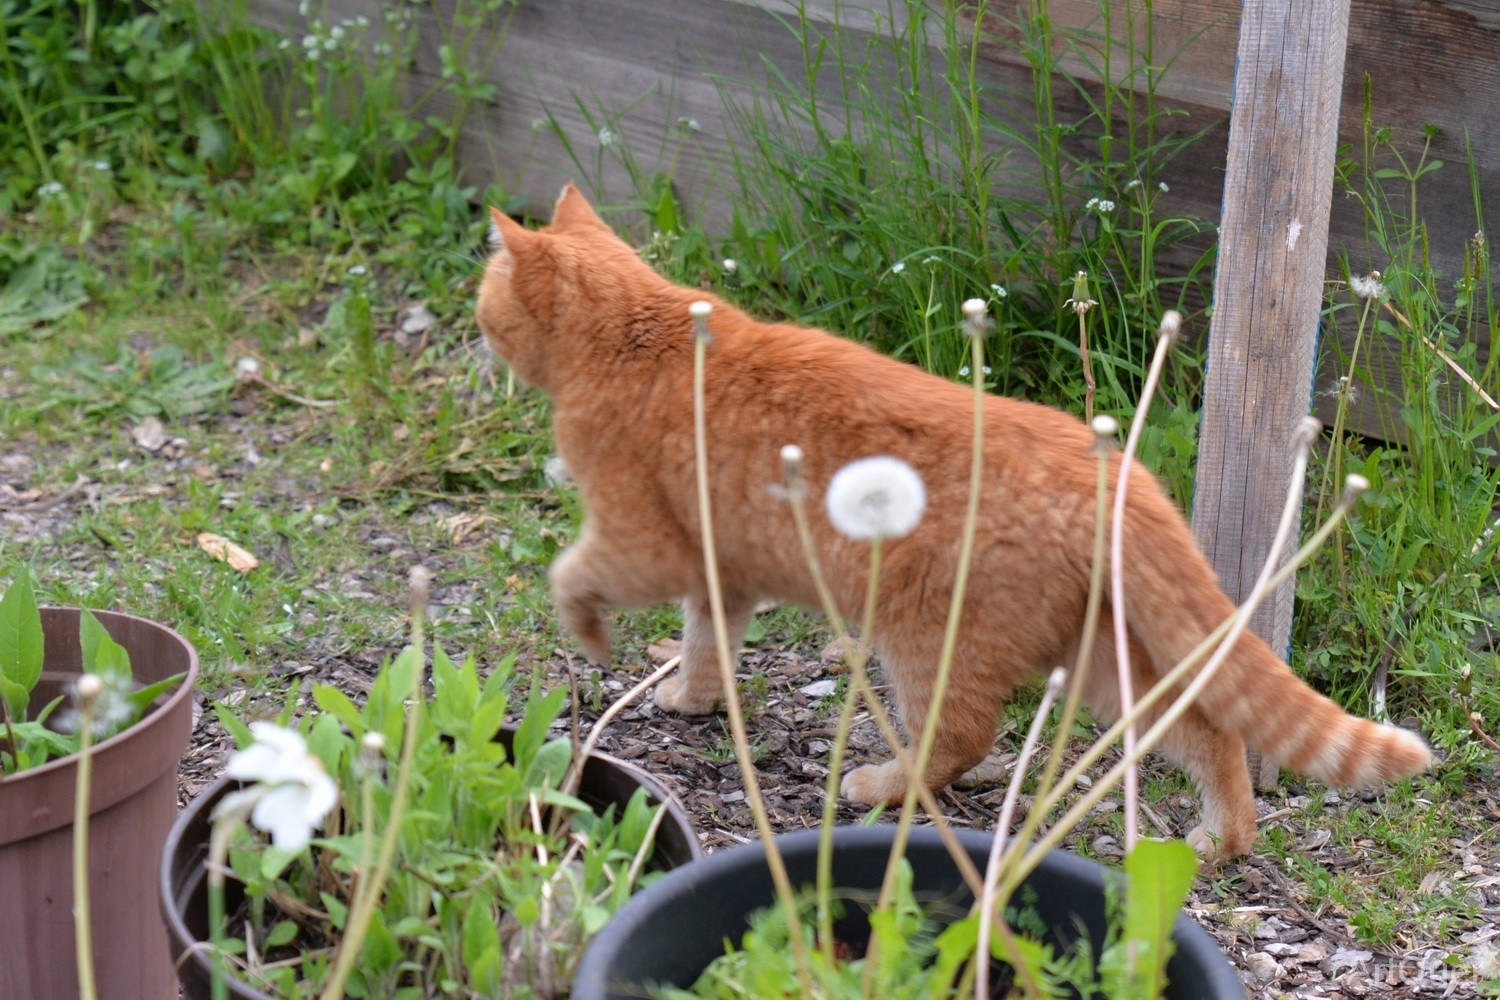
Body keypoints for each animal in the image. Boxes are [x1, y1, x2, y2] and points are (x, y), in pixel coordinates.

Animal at [475, 184, 1431, 857]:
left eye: (486, 296)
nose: (477, 327)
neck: (640, 331)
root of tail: (1105, 468)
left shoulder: (642, 540)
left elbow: (572, 575)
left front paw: (595, 642)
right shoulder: (722, 569)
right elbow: (709, 642)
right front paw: (692, 699)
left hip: (928, 638)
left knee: (965, 737)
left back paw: (877, 784)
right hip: (1100, 656)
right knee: (1204, 729)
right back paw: (1224, 838)